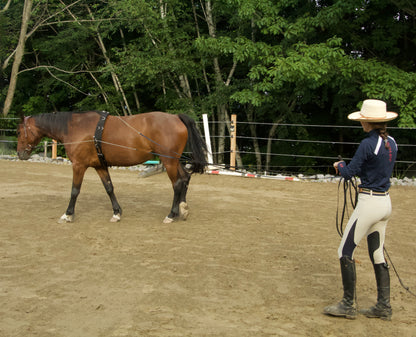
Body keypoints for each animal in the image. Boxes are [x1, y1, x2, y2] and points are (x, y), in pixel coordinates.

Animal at [17, 110, 207, 223]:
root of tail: (176, 117)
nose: (20, 154)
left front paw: (68, 214)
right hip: (174, 161)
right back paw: (183, 208)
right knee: (185, 178)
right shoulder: (100, 166)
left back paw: (171, 214)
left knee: (177, 183)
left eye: (19, 132)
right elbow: (109, 188)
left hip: (169, 162)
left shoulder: (79, 165)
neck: (75, 127)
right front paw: (117, 212)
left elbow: (74, 190)